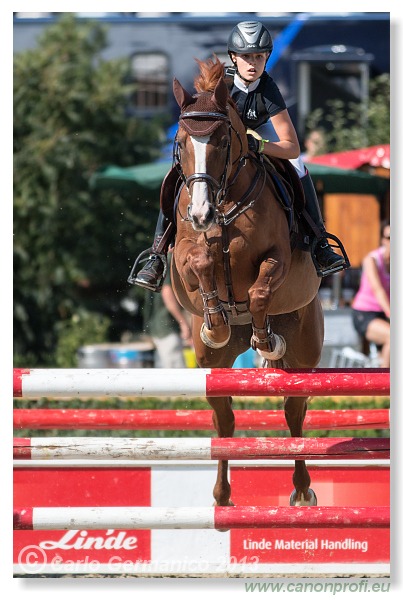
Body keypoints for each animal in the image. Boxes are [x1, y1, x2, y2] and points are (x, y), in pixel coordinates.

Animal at [168, 58, 326, 510]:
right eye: (181, 142)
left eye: (223, 141)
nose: (200, 213)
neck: (224, 202)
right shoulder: (182, 258)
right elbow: (200, 260)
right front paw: (216, 321)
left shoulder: (278, 258)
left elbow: (258, 291)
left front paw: (264, 337)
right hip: (211, 364)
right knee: (224, 419)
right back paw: (221, 497)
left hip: (305, 351)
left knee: (294, 412)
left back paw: (302, 491)